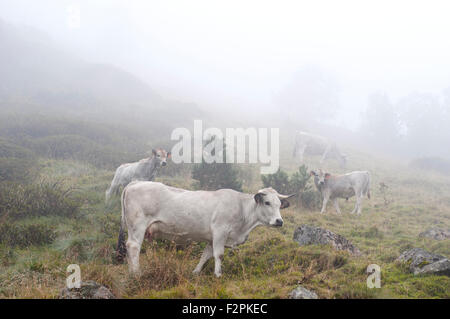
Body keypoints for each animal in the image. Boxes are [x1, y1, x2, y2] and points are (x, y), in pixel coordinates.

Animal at [116, 184, 296, 278]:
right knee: (133, 246)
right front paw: (218, 274)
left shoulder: (212, 238)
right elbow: (219, 254)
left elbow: (206, 255)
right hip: (137, 226)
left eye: (279, 204)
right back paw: (136, 273)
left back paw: (131, 271)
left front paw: (196, 272)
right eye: (267, 202)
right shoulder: (220, 231)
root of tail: (134, 184)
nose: (279, 221)